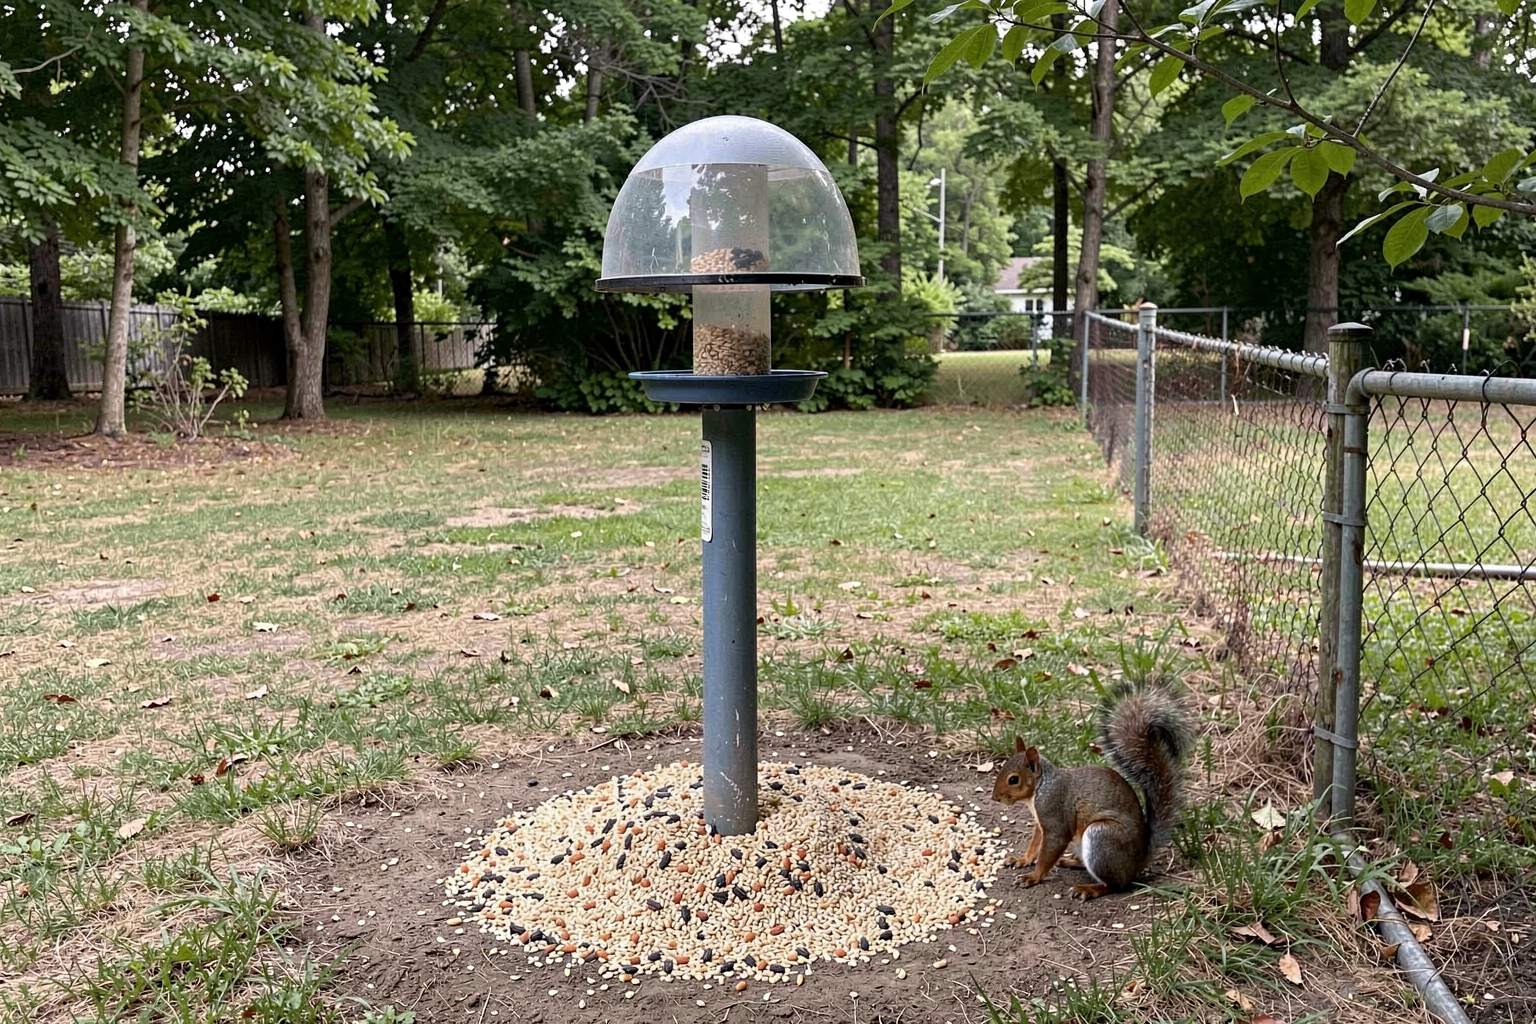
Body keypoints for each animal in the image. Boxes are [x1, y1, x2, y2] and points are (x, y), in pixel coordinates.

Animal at [991, 682, 1191, 899]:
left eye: (1013, 779)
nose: (994, 798)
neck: (1041, 787)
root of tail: (1139, 861)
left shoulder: (1054, 812)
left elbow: (1050, 848)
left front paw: (1033, 877)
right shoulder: (1040, 822)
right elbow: (1035, 843)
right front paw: (1022, 860)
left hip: (1102, 838)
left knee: (1114, 885)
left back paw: (1088, 889)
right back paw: (1068, 861)